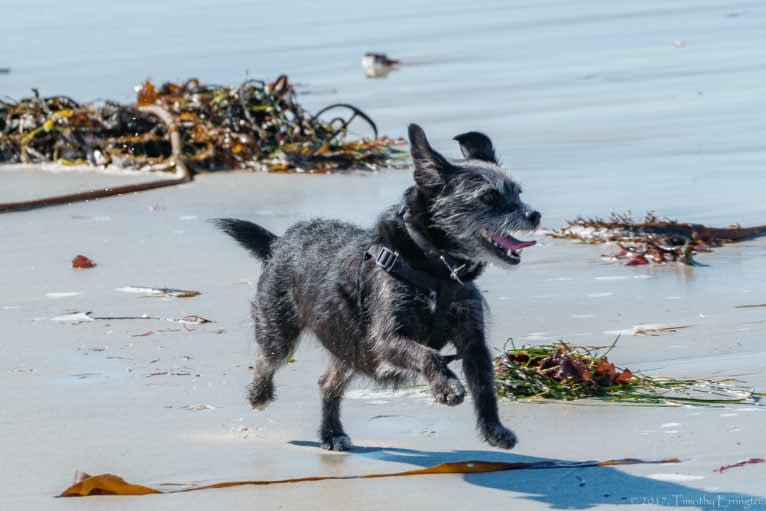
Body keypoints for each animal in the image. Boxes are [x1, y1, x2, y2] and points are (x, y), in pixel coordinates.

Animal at [214, 124, 540, 452]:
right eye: (488, 196)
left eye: (518, 193)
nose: (534, 215)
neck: (435, 268)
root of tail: (278, 242)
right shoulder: (386, 339)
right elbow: (428, 355)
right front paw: (447, 387)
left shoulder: (472, 339)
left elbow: (484, 386)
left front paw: (494, 429)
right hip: (282, 330)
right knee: (268, 358)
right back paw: (259, 394)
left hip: (350, 348)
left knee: (327, 383)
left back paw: (331, 432)